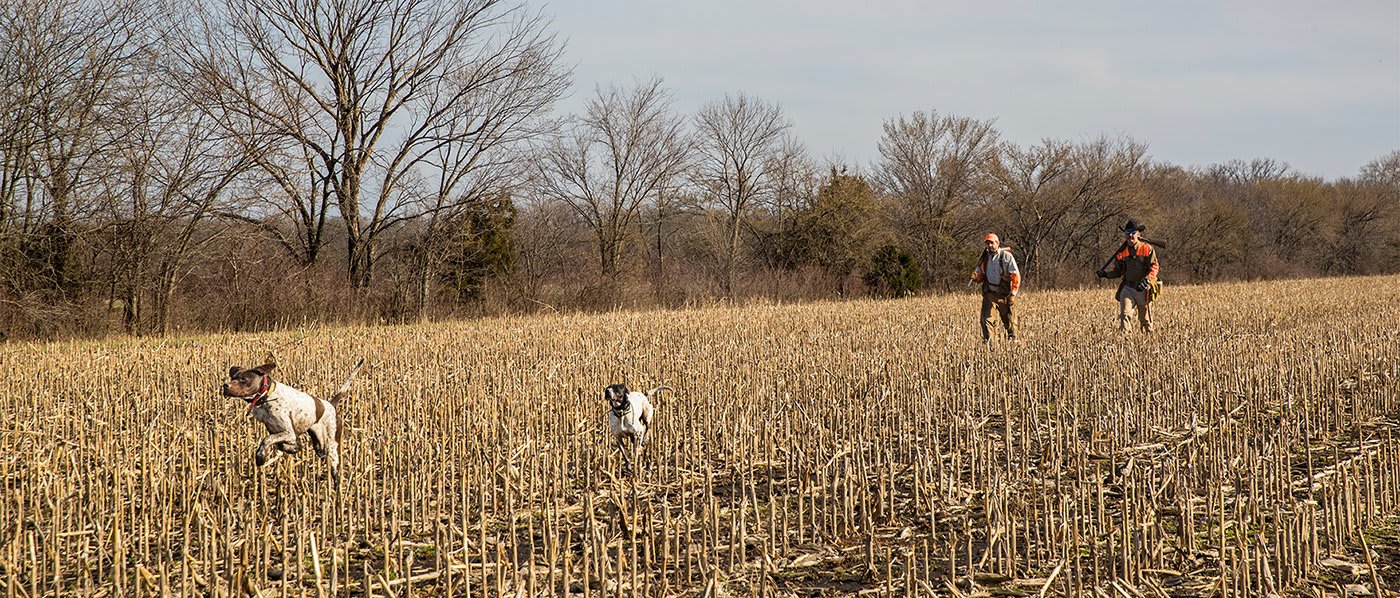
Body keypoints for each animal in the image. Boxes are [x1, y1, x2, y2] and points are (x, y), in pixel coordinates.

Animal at [221, 358, 364, 484]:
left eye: (244, 379)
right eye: (233, 377)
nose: (225, 386)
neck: (267, 397)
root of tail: (331, 405)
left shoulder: (288, 433)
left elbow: (266, 440)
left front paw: (260, 457)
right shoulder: (283, 433)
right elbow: (284, 444)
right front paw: (293, 448)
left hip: (331, 447)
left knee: (335, 472)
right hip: (319, 446)